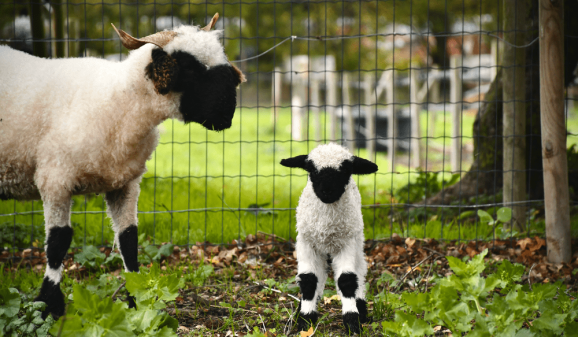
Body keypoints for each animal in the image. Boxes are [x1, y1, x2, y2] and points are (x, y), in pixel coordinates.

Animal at [0, 13, 244, 318]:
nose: (227, 115)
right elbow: (58, 242)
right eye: (188, 67)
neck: (121, 102)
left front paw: (134, 300)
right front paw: (49, 305)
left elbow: (129, 240)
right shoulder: (54, 178)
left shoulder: (125, 182)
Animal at [280, 142, 378, 334]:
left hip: (357, 239)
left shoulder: (346, 243)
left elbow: (347, 280)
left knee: (359, 270)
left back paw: (361, 308)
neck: (326, 224)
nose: (327, 191)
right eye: (312, 170)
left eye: (345, 170)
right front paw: (305, 320)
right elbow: (309, 279)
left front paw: (352, 321)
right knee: (320, 275)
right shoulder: (306, 243)